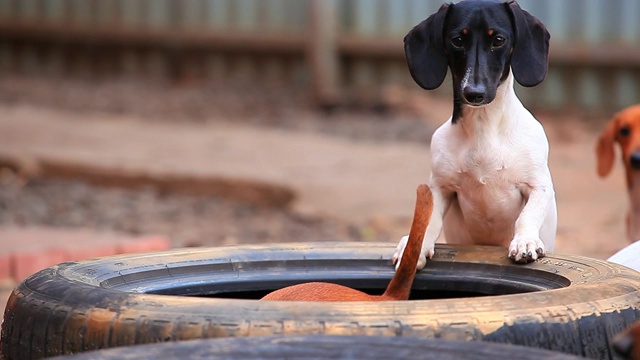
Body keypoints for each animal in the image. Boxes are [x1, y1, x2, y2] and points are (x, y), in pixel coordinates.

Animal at [390, 0, 556, 270]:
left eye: (498, 40)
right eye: (457, 40)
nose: (474, 93)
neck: (483, 130)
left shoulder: (538, 186)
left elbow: (527, 216)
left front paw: (525, 241)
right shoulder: (439, 187)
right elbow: (427, 220)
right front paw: (414, 247)